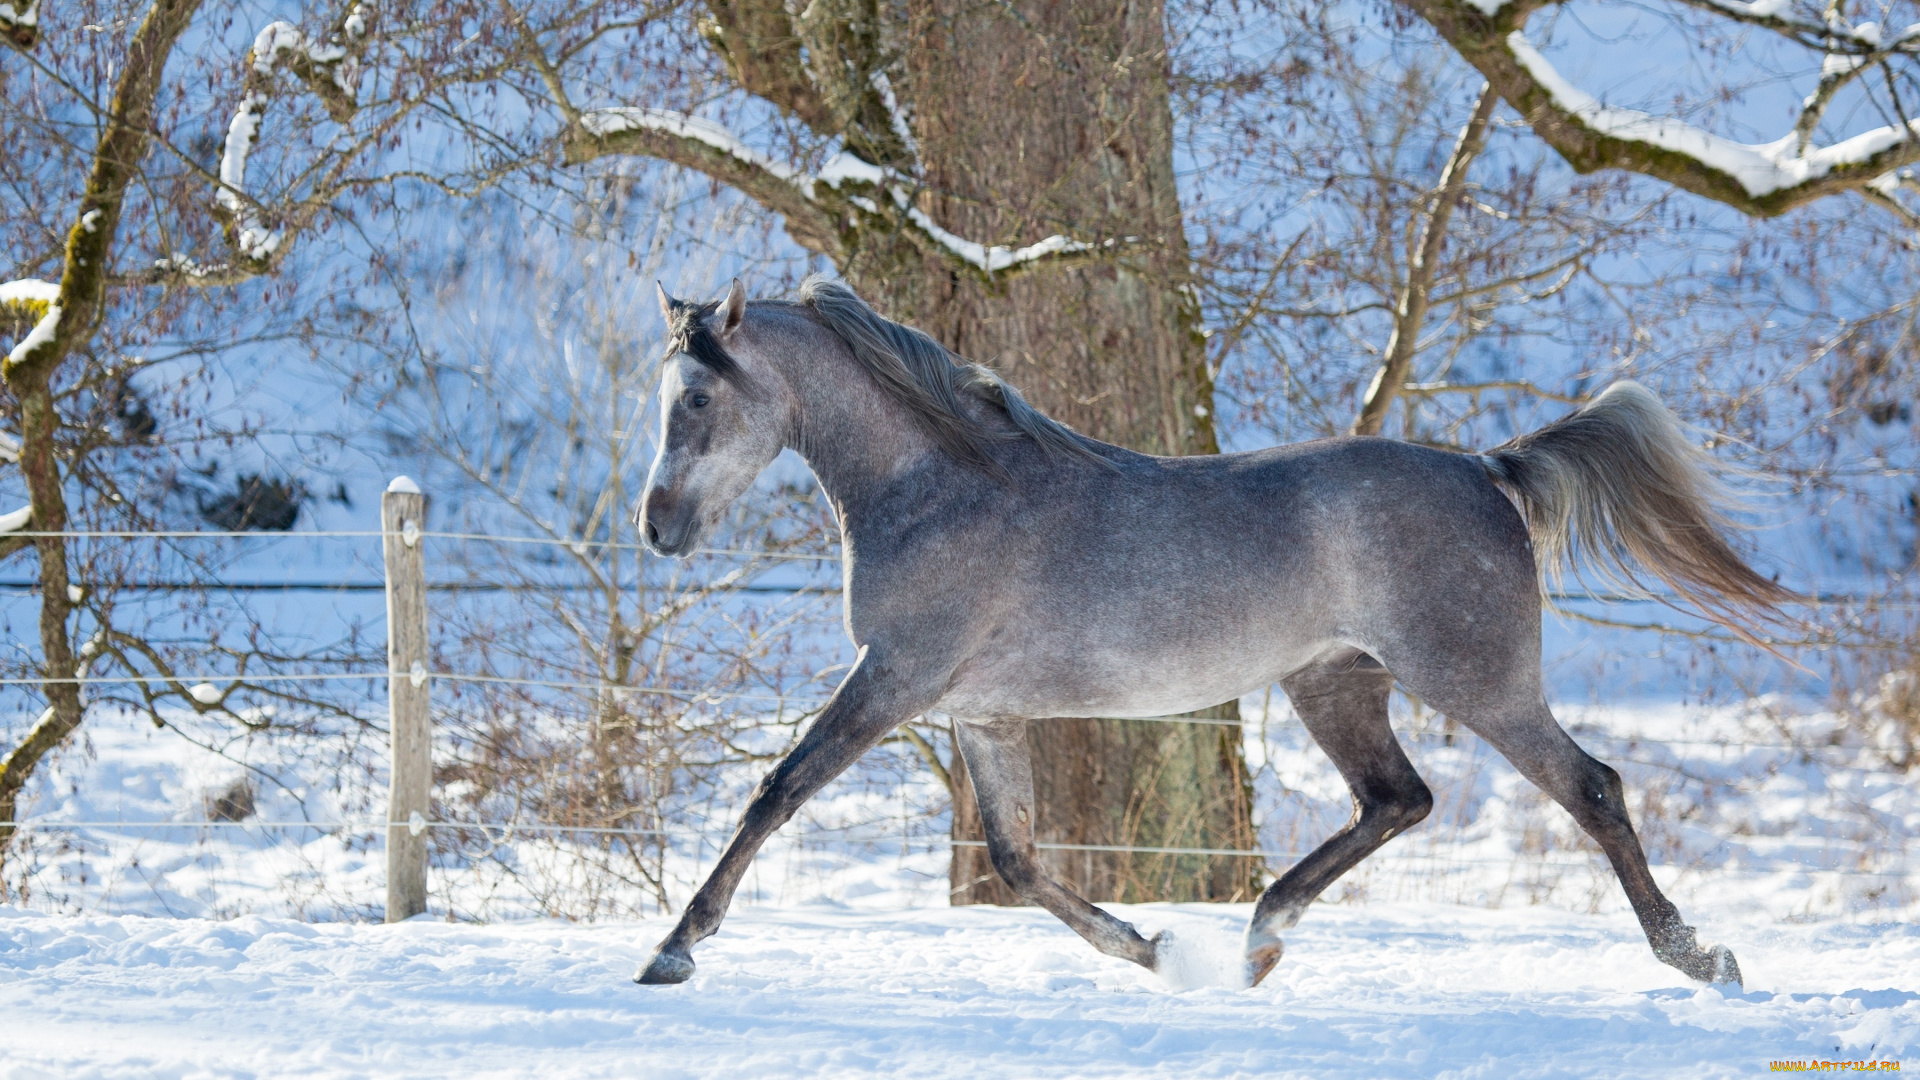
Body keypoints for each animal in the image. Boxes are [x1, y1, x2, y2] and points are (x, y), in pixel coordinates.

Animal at [629, 274, 1781, 983]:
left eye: (694, 400)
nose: (657, 527)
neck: (939, 488)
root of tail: (1484, 467)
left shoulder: (892, 680)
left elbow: (776, 793)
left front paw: (672, 952)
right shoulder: (981, 713)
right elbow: (1017, 860)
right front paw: (1153, 951)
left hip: (1477, 682)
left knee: (1593, 789)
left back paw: (1700, 958)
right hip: (1335, 683)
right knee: (1396, 799)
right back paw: (1259, 941)